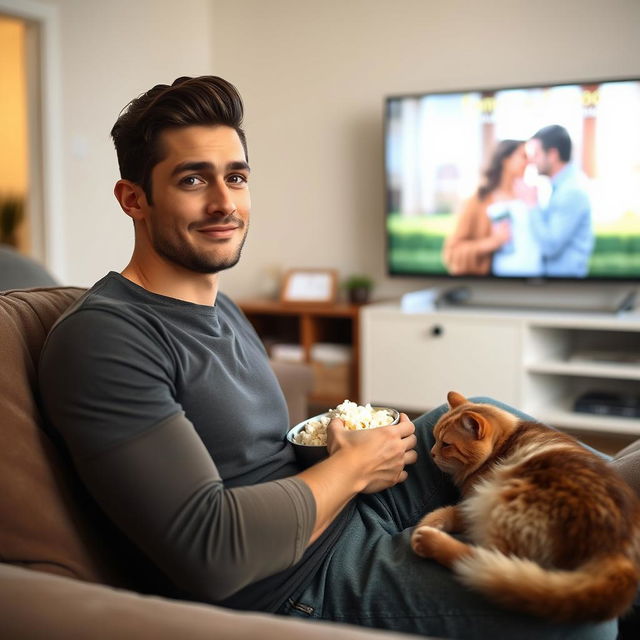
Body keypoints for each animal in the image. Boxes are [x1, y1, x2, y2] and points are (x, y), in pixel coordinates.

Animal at [410, 392, 640, 624]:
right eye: (435, 438)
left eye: (446, 444)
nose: (431, 453)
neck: (500, 448)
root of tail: (619, 551)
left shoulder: (474, 499)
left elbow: (449, 512)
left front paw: (426, 525)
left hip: (501, 504)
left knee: (482, 558)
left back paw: (430, 542)